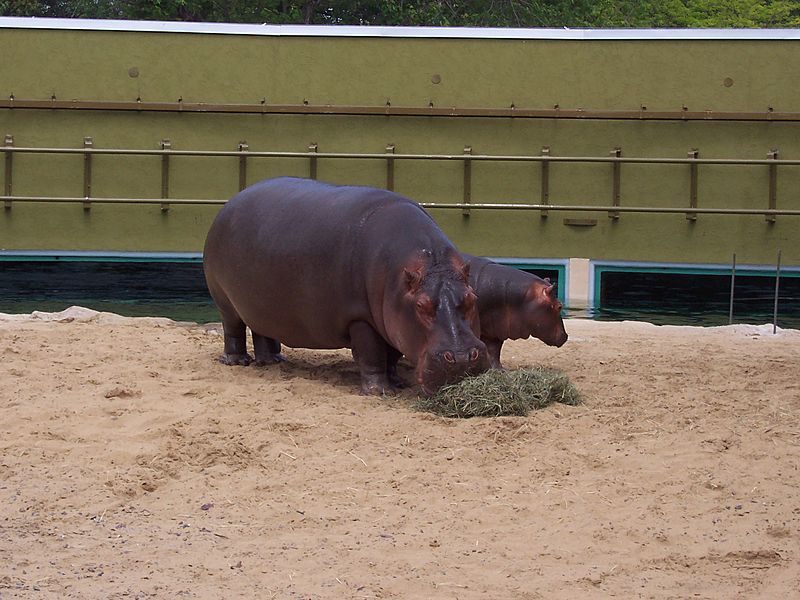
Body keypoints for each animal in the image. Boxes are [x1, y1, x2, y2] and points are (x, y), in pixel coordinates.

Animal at [203, 177, 489, 396]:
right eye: (421, 306)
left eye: (471, 298)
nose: (462, 357)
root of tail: (229, 203)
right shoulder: (360, 318)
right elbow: (372, 355)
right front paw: (379, 391)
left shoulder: (390, 321)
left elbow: (392, 355)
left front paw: (396, 382)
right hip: (224, 300)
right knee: (233, 329)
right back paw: (238, 362)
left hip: (260, 304)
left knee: (262, 330)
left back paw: (272, 360)